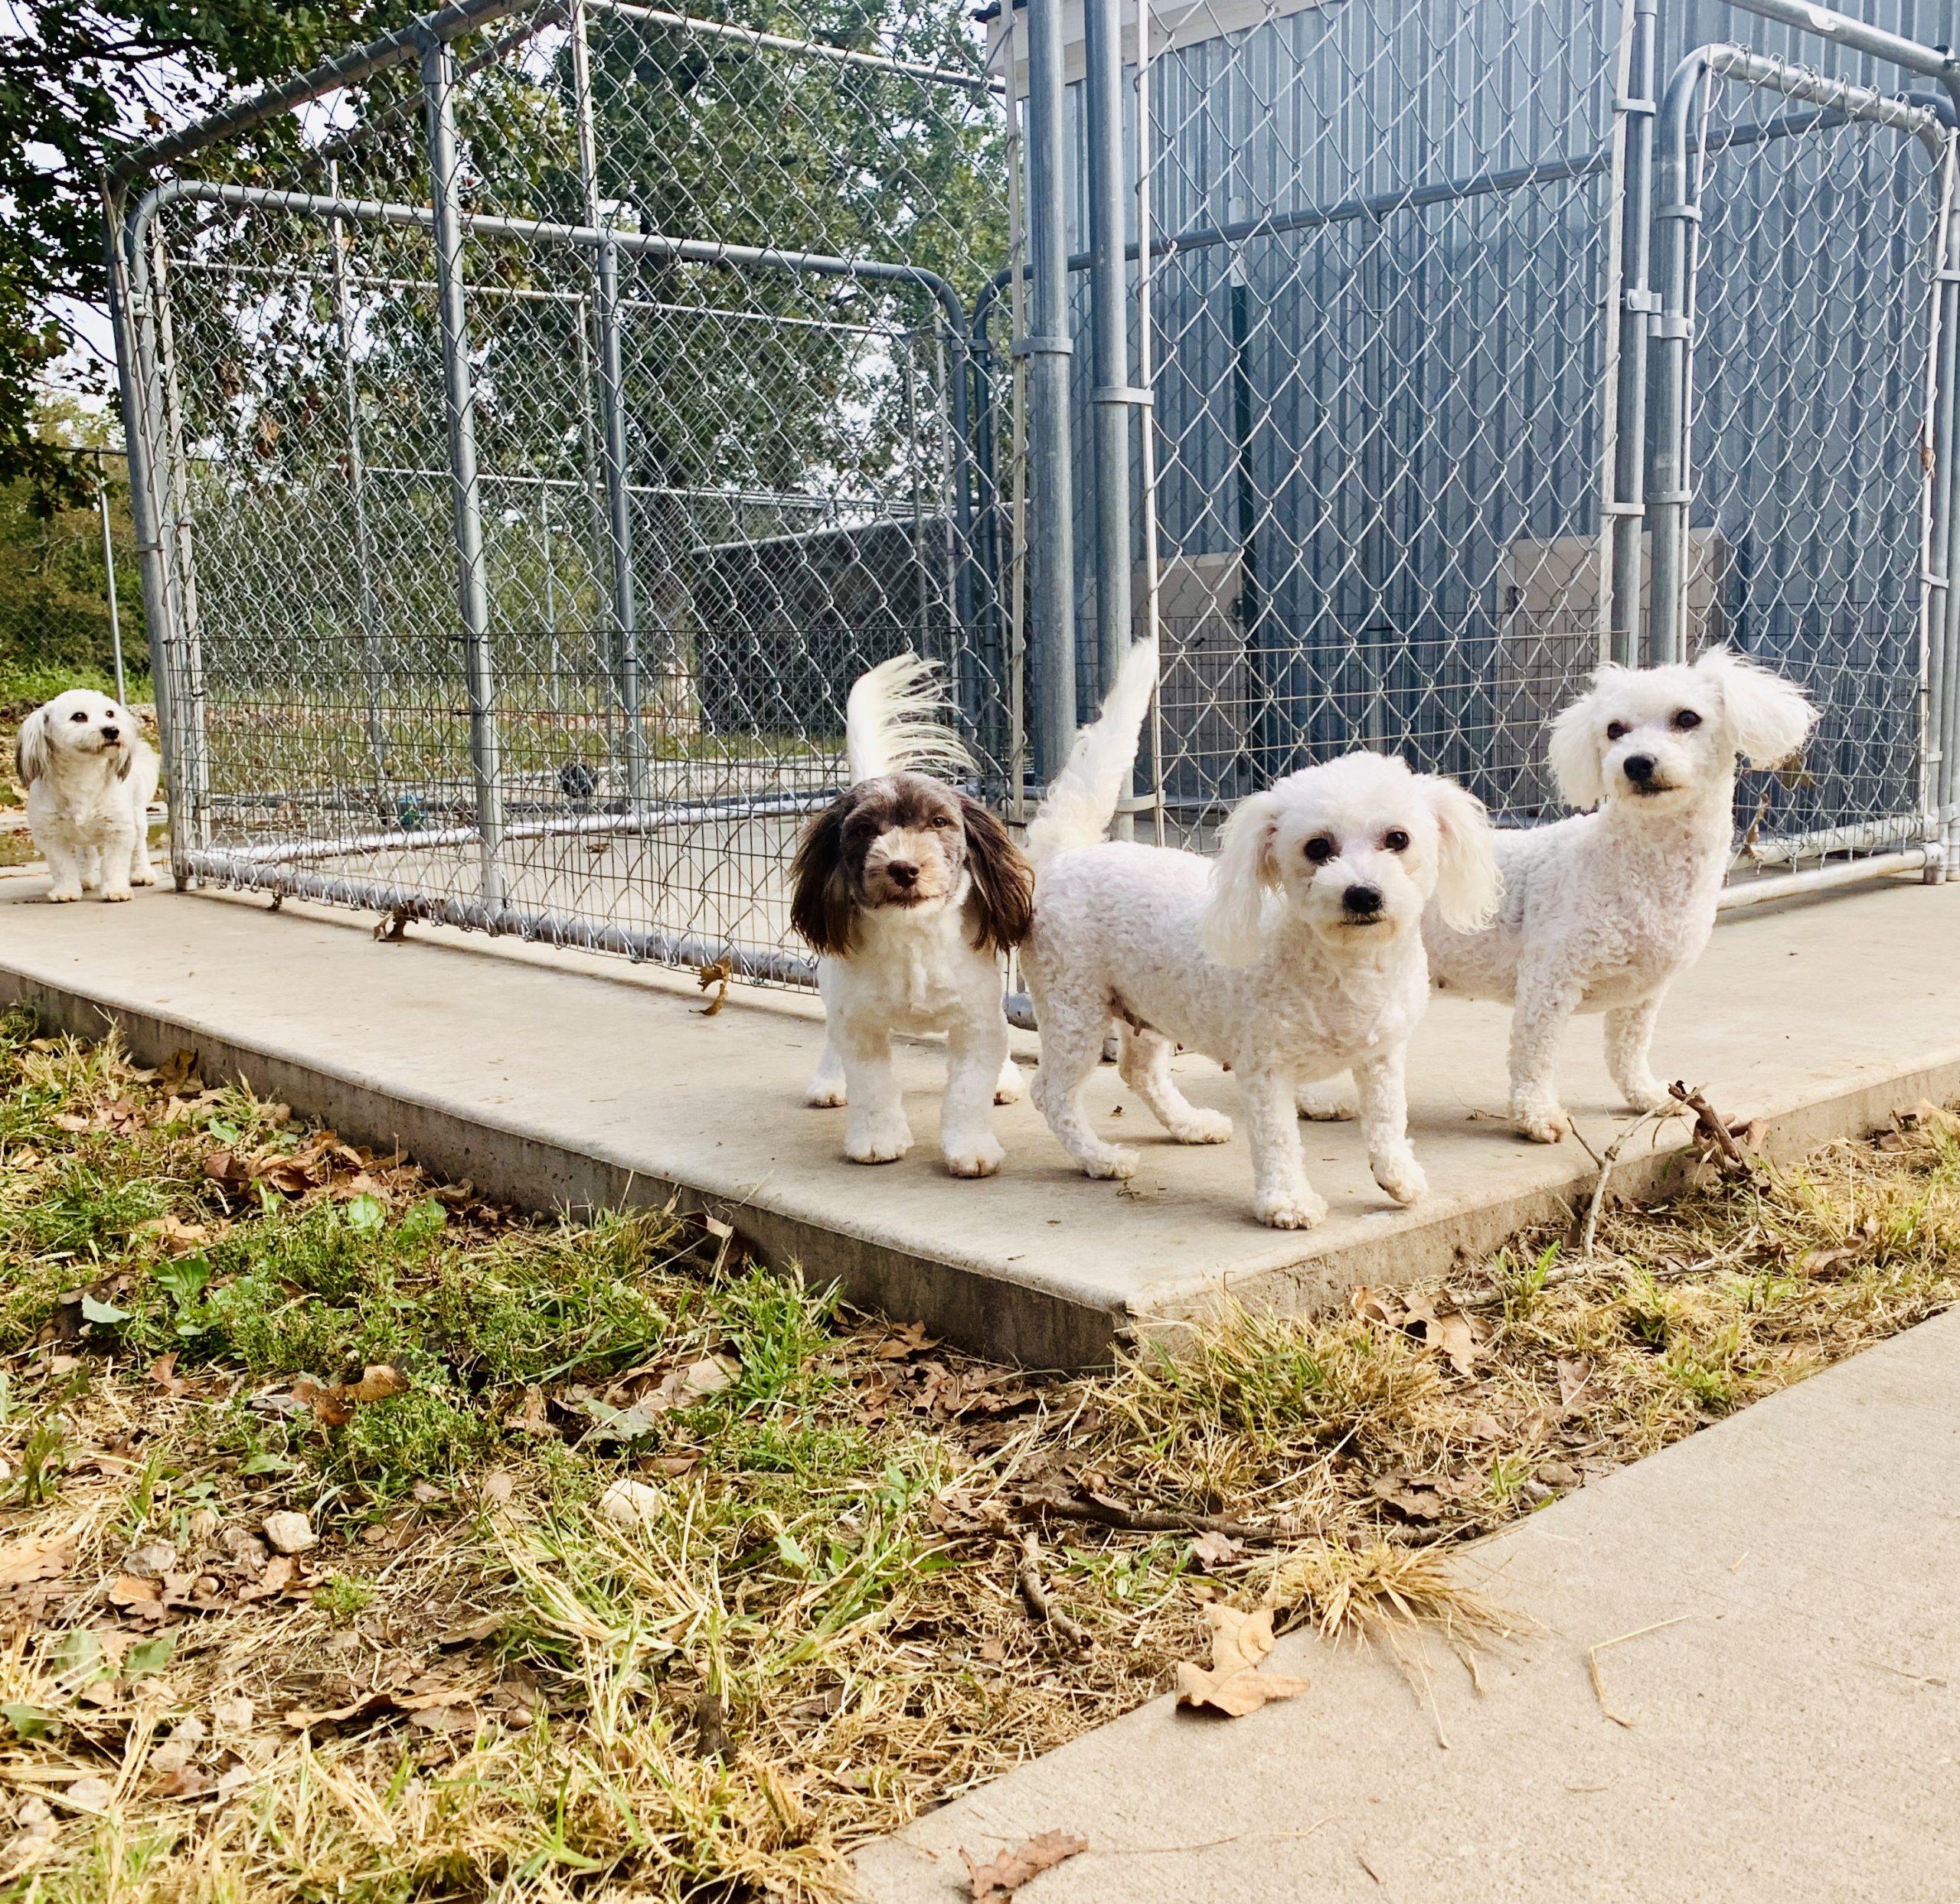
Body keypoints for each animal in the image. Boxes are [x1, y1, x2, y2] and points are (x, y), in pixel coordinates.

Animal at [15, 690, 159, 906]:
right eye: (79, 716)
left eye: (110, 714)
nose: (112, 731)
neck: (82, 775)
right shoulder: (51, 834)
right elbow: (63, 866)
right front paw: (66, 891)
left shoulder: (119, 829)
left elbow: (114, 863)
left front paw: (116, 890)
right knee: (86, 852)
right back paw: (84, 878)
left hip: (137, 816)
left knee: (139, 845)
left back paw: (142, 874)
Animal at [1027, 647, 1497, 1231]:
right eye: (1318, 847)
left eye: (1398, 838)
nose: (1363, 894)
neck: (1346, 969)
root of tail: (1066, 855)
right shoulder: (1265, 1068)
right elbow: (1277, 1139)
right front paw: (1287, 1201)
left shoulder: (1383, 1056)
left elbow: (1389, 1118)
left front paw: (1398, 1175)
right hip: (1074, 1011)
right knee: (1051, 1093)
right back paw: (1098, 1157)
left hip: (1146, 1007)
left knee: (1139, 1072)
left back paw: (1188, 1124)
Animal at [1426, 638, 1818, 1145]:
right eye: (1614, 730)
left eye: (1687, 718)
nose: (1637, 763)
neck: (1640, 871)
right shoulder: (1549, 980)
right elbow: (1534, 1054)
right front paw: (1537, 1116)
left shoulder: (1644, 992)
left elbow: (1628, 1049)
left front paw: (1649, 1096)